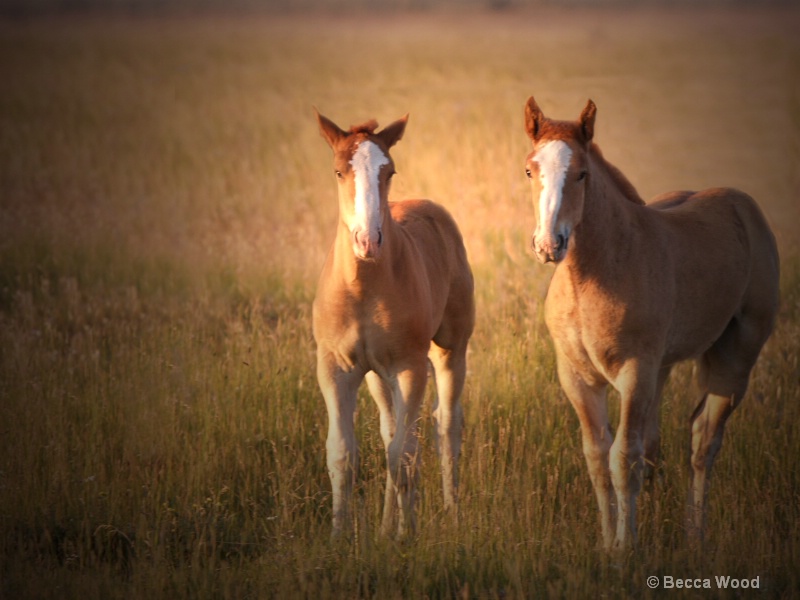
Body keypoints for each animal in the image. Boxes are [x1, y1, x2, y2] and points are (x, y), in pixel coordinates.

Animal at [312, 110, 476, 536]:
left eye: (390, 171)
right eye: (339, 171)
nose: (368, 241)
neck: (362, 287)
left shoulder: (408, 366)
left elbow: (404, 456)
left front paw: (408, 536)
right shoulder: (335, 368)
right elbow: (343, 455)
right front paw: (339, 536)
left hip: (450, 351)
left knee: (444, 426)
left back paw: (451, 513)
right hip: (377, 376)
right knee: (391, 430)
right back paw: (387, 525)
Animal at [520, 96, 780, 552]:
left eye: (582, 173)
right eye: (531, 170)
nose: (550, 245)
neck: (591, 277)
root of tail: (746, 208)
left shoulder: (634, 372)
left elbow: (623, 458)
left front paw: (626, 550)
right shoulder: (577, 378)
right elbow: (597, 457)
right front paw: (609, 543)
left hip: (736, 355)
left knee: (703, 441)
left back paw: (695, 535)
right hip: (664, 367)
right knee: (658, 445)